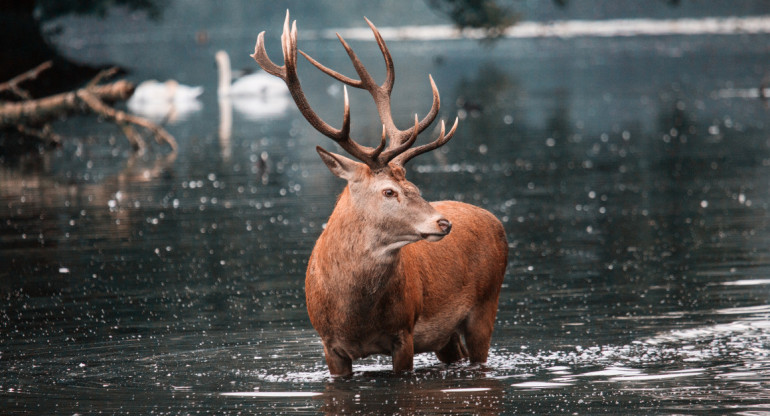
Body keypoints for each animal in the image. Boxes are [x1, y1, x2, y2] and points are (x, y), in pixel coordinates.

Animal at [249, 12, 508, 376]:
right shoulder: (328, 344)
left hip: (487, 304)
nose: (443, 223)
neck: (354, 318)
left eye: (415, 187)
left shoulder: (404, 333)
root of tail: (496, 221)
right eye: (389, 191)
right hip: (446, 335)